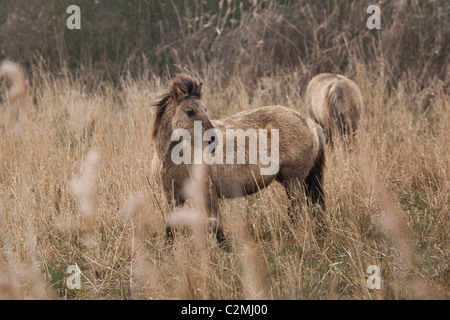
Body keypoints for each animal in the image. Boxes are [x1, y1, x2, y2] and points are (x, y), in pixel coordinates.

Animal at [152, 74, 326, 245]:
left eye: (205, 109)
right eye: (189, 112)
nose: (213, 140)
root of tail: (309, 122)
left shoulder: (208, 194)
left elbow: (217, 228)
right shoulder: (172, 198)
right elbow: (170, 231)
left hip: (293, 181)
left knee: (296, 210)